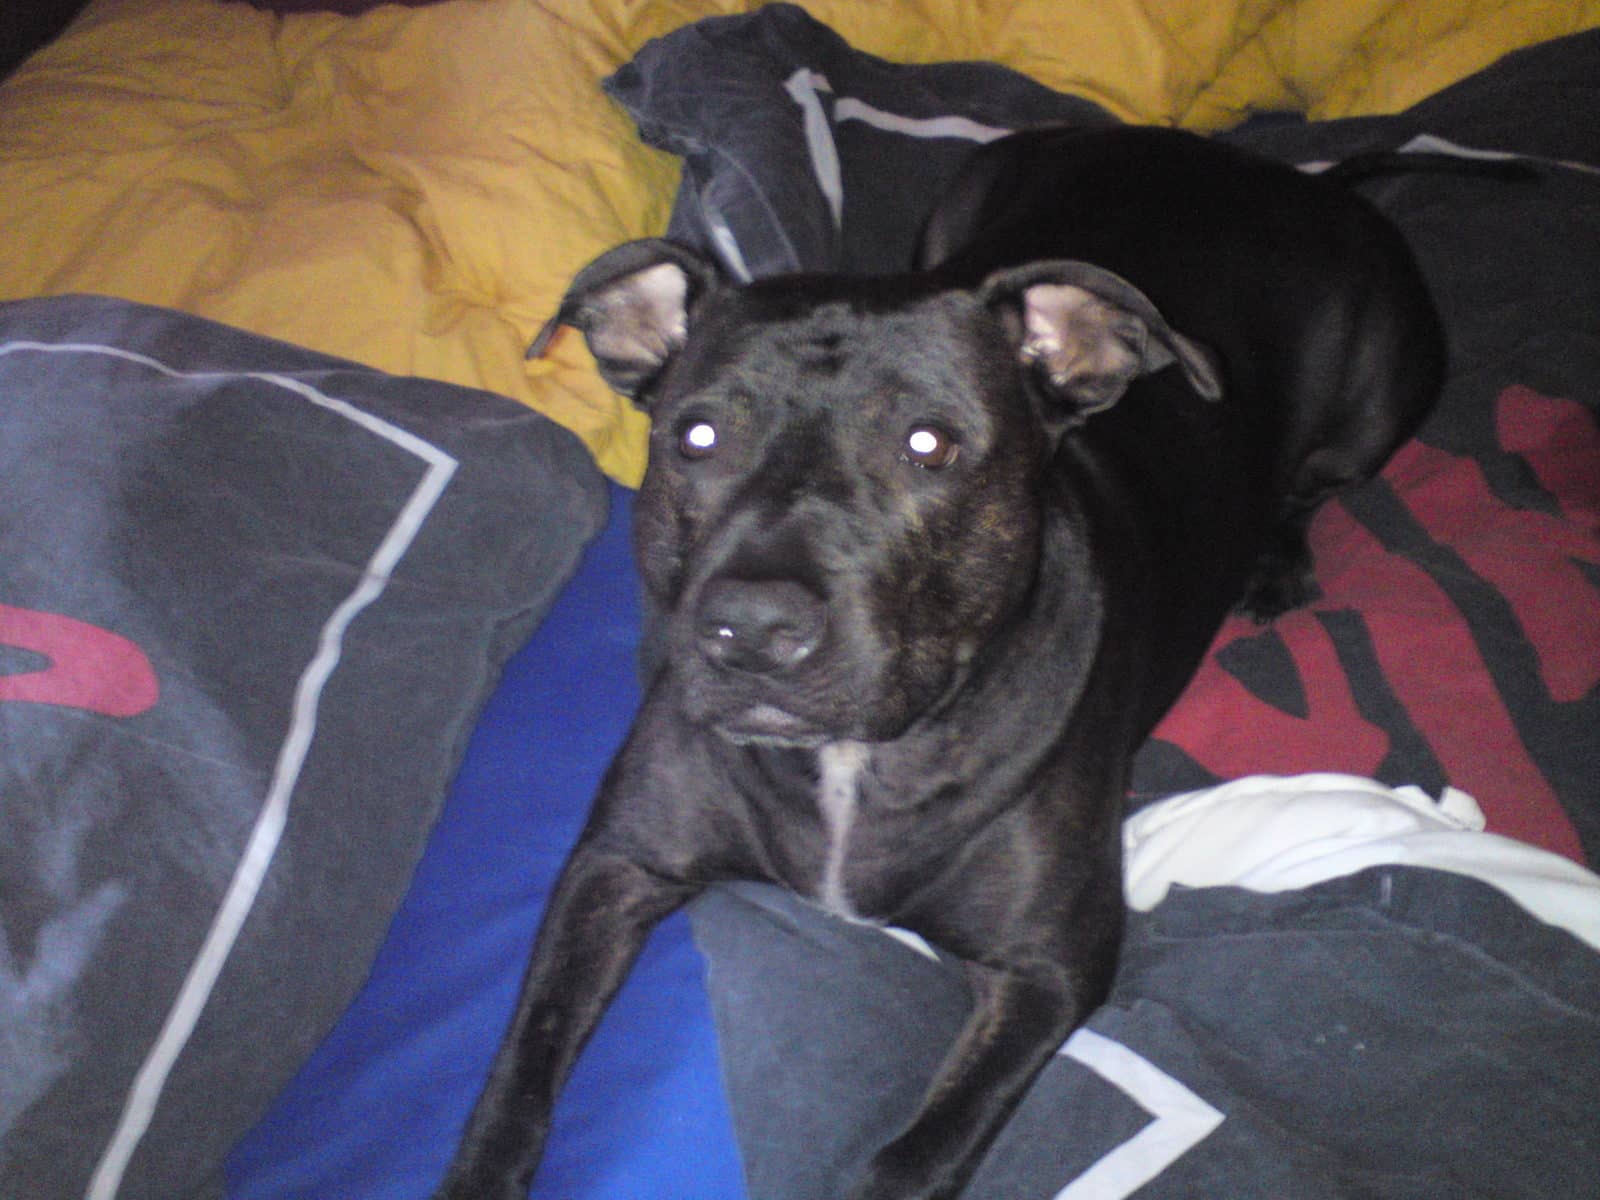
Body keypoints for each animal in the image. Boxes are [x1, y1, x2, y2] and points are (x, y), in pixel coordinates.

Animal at [434, 125, 1443, 1200]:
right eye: (694, 437)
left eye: (929, 444)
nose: (751, 628)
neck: (855, 759)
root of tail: (1278, 176)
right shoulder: (615, 861)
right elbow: (520, 1068)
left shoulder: (1048, 969)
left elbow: (922, 1151)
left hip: (1375, 407)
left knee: (1313, 486)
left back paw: (1279, 561)